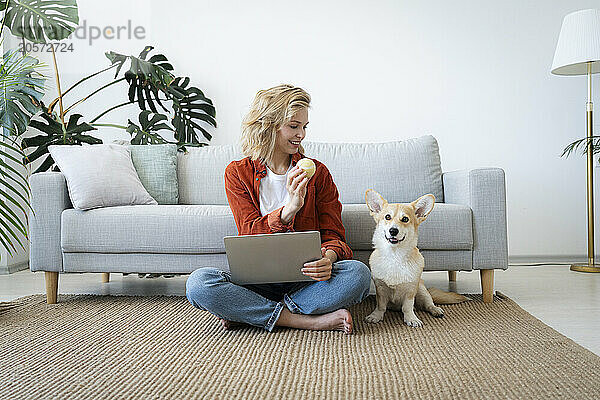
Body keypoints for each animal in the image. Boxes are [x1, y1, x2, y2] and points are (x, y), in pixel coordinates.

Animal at [366, 189, 468, 326]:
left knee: (428, 304)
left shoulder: (411, 290)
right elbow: (381, 306)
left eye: (405, 219)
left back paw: (436, 310)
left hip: (422, 290)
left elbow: (408, 307)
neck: (395, 255)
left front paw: (411, 319)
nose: (393, 231)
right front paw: (376, 316)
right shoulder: (380, 288)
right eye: (387, 217)